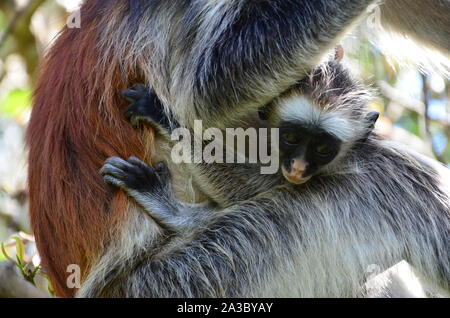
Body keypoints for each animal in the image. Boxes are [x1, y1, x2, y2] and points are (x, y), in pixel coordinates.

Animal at [29, 0, 450, 298]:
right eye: (292, 139)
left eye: (321, 147)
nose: (298, 168)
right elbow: (209, 87)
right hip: (193, 276)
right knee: (390, 180)